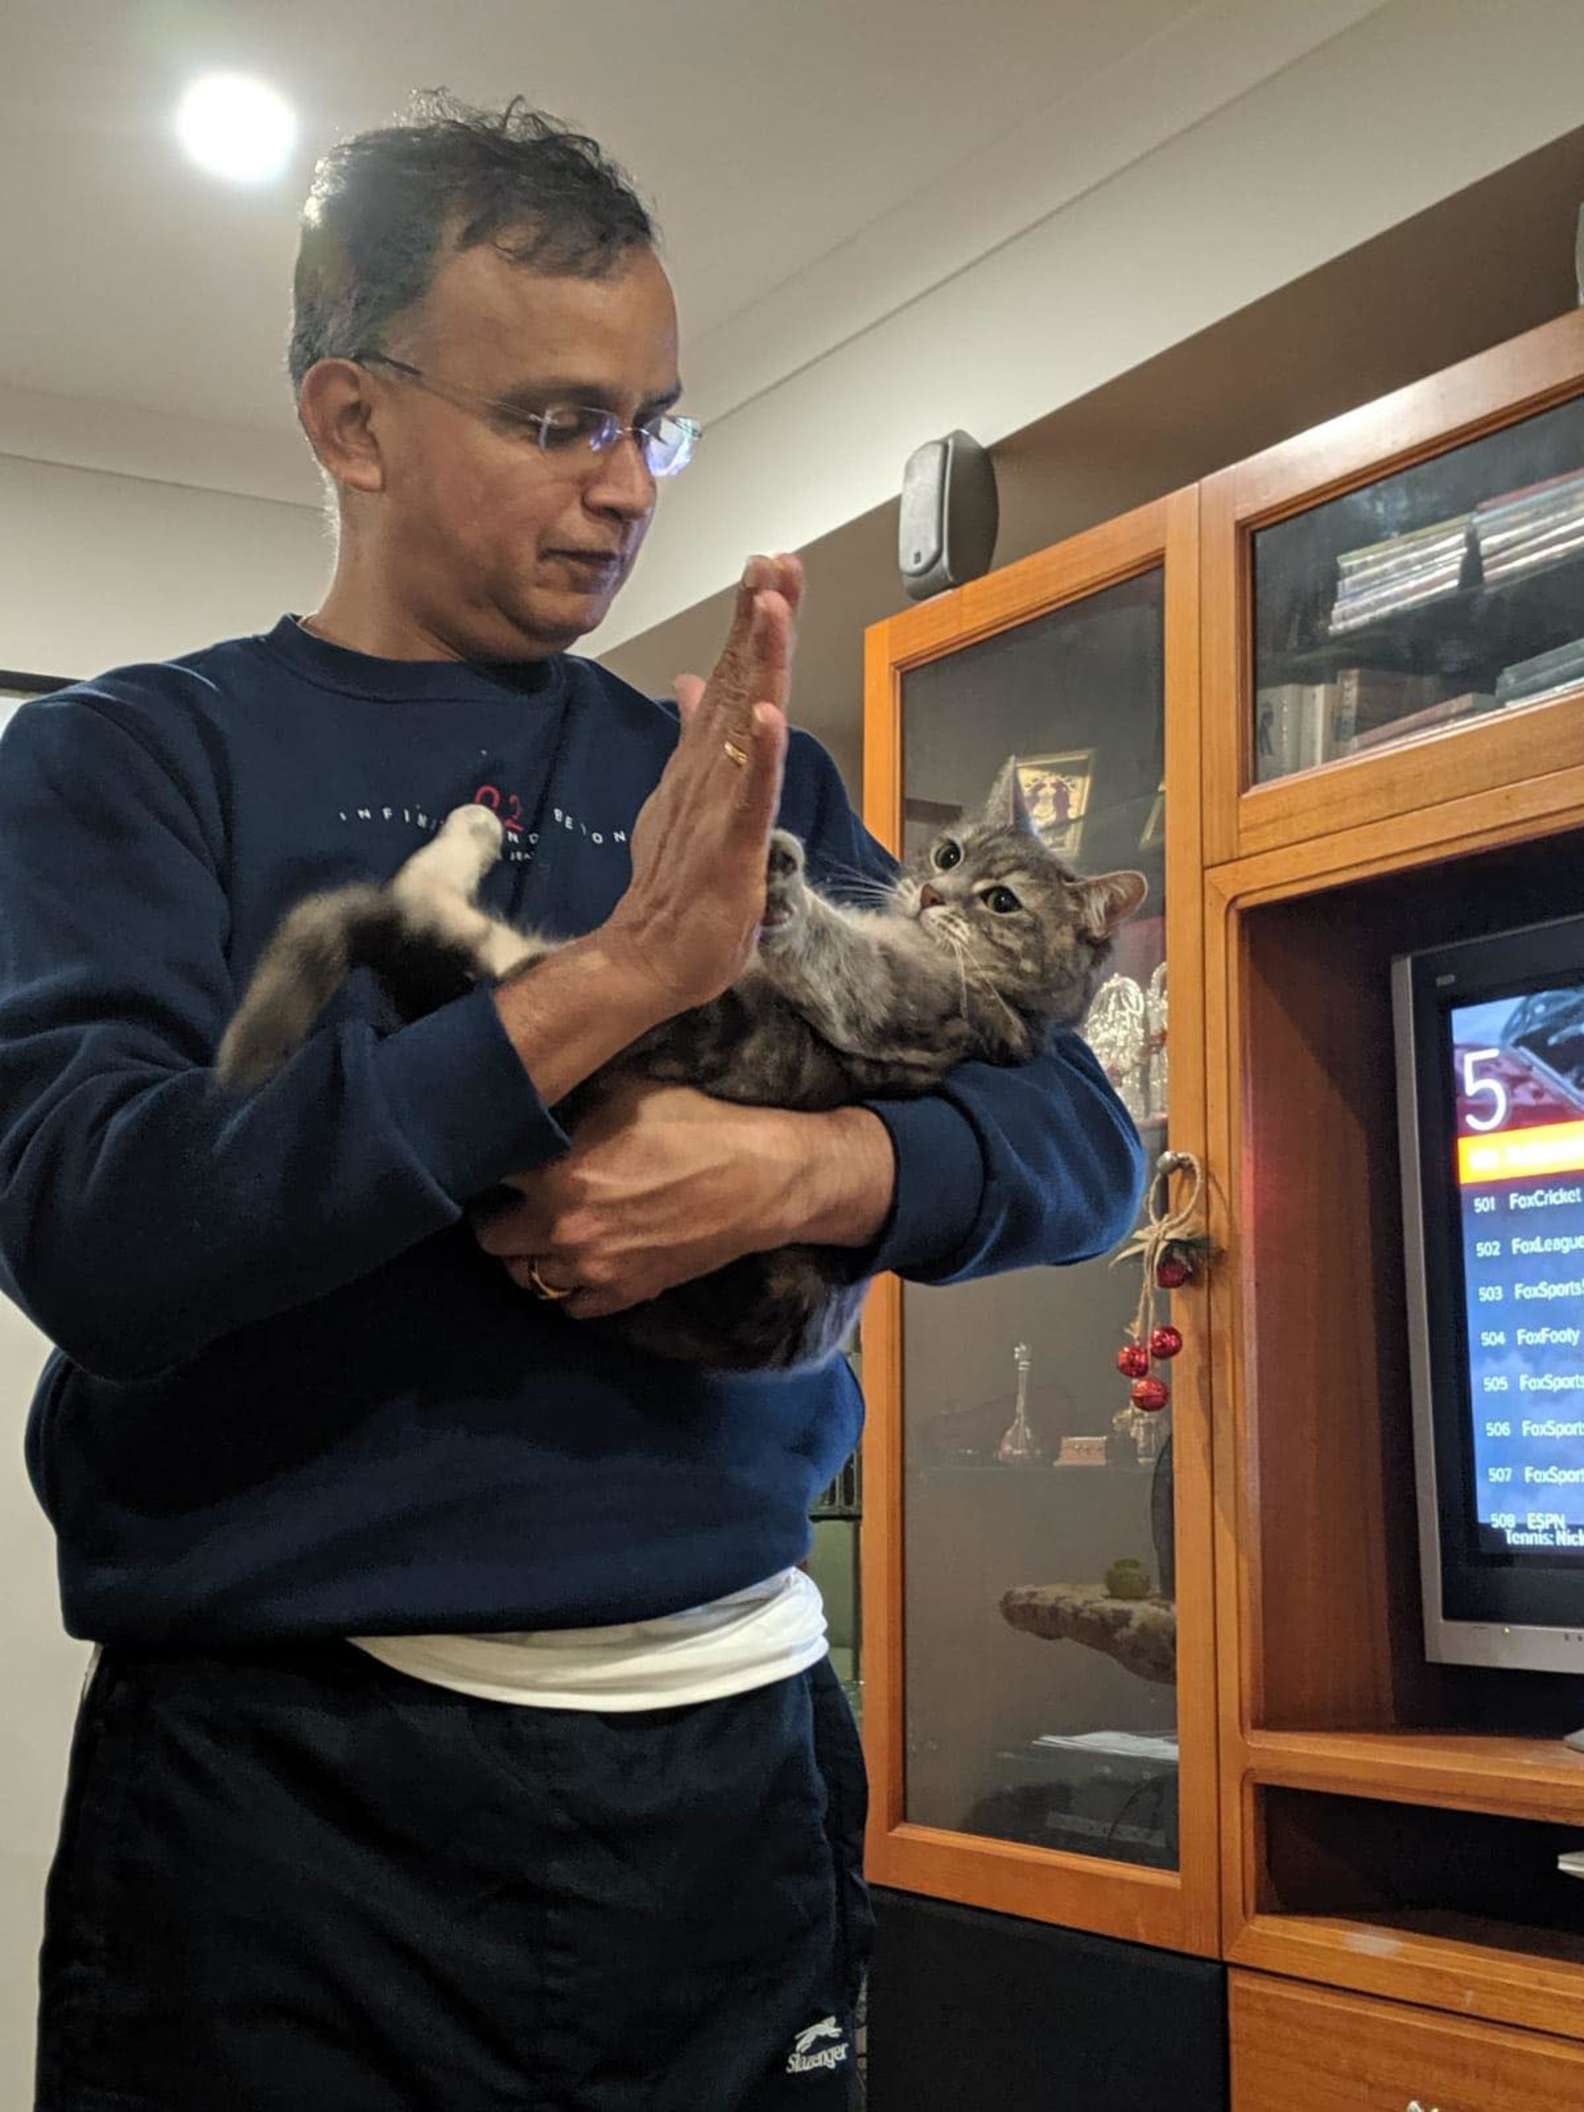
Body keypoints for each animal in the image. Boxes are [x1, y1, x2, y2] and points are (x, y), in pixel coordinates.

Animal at [217, 760, 1148, 1368]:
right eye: (950, 855)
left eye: (1002, 901)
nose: (928, 893)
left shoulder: (890, 1001)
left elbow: (826, 944)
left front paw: (771, 871)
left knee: (426, 904)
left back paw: (470, 838)